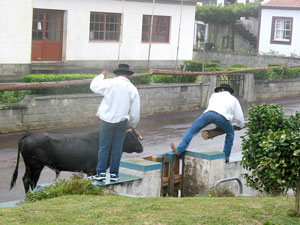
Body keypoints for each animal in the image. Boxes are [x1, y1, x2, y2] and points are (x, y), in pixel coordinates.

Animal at [9, 129, 144, 192]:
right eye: (132, 137)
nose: (141, 148)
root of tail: (30, 134)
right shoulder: (92, 170)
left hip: (30, 166)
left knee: (25, 179)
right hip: (36, 165)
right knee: (31, 181)